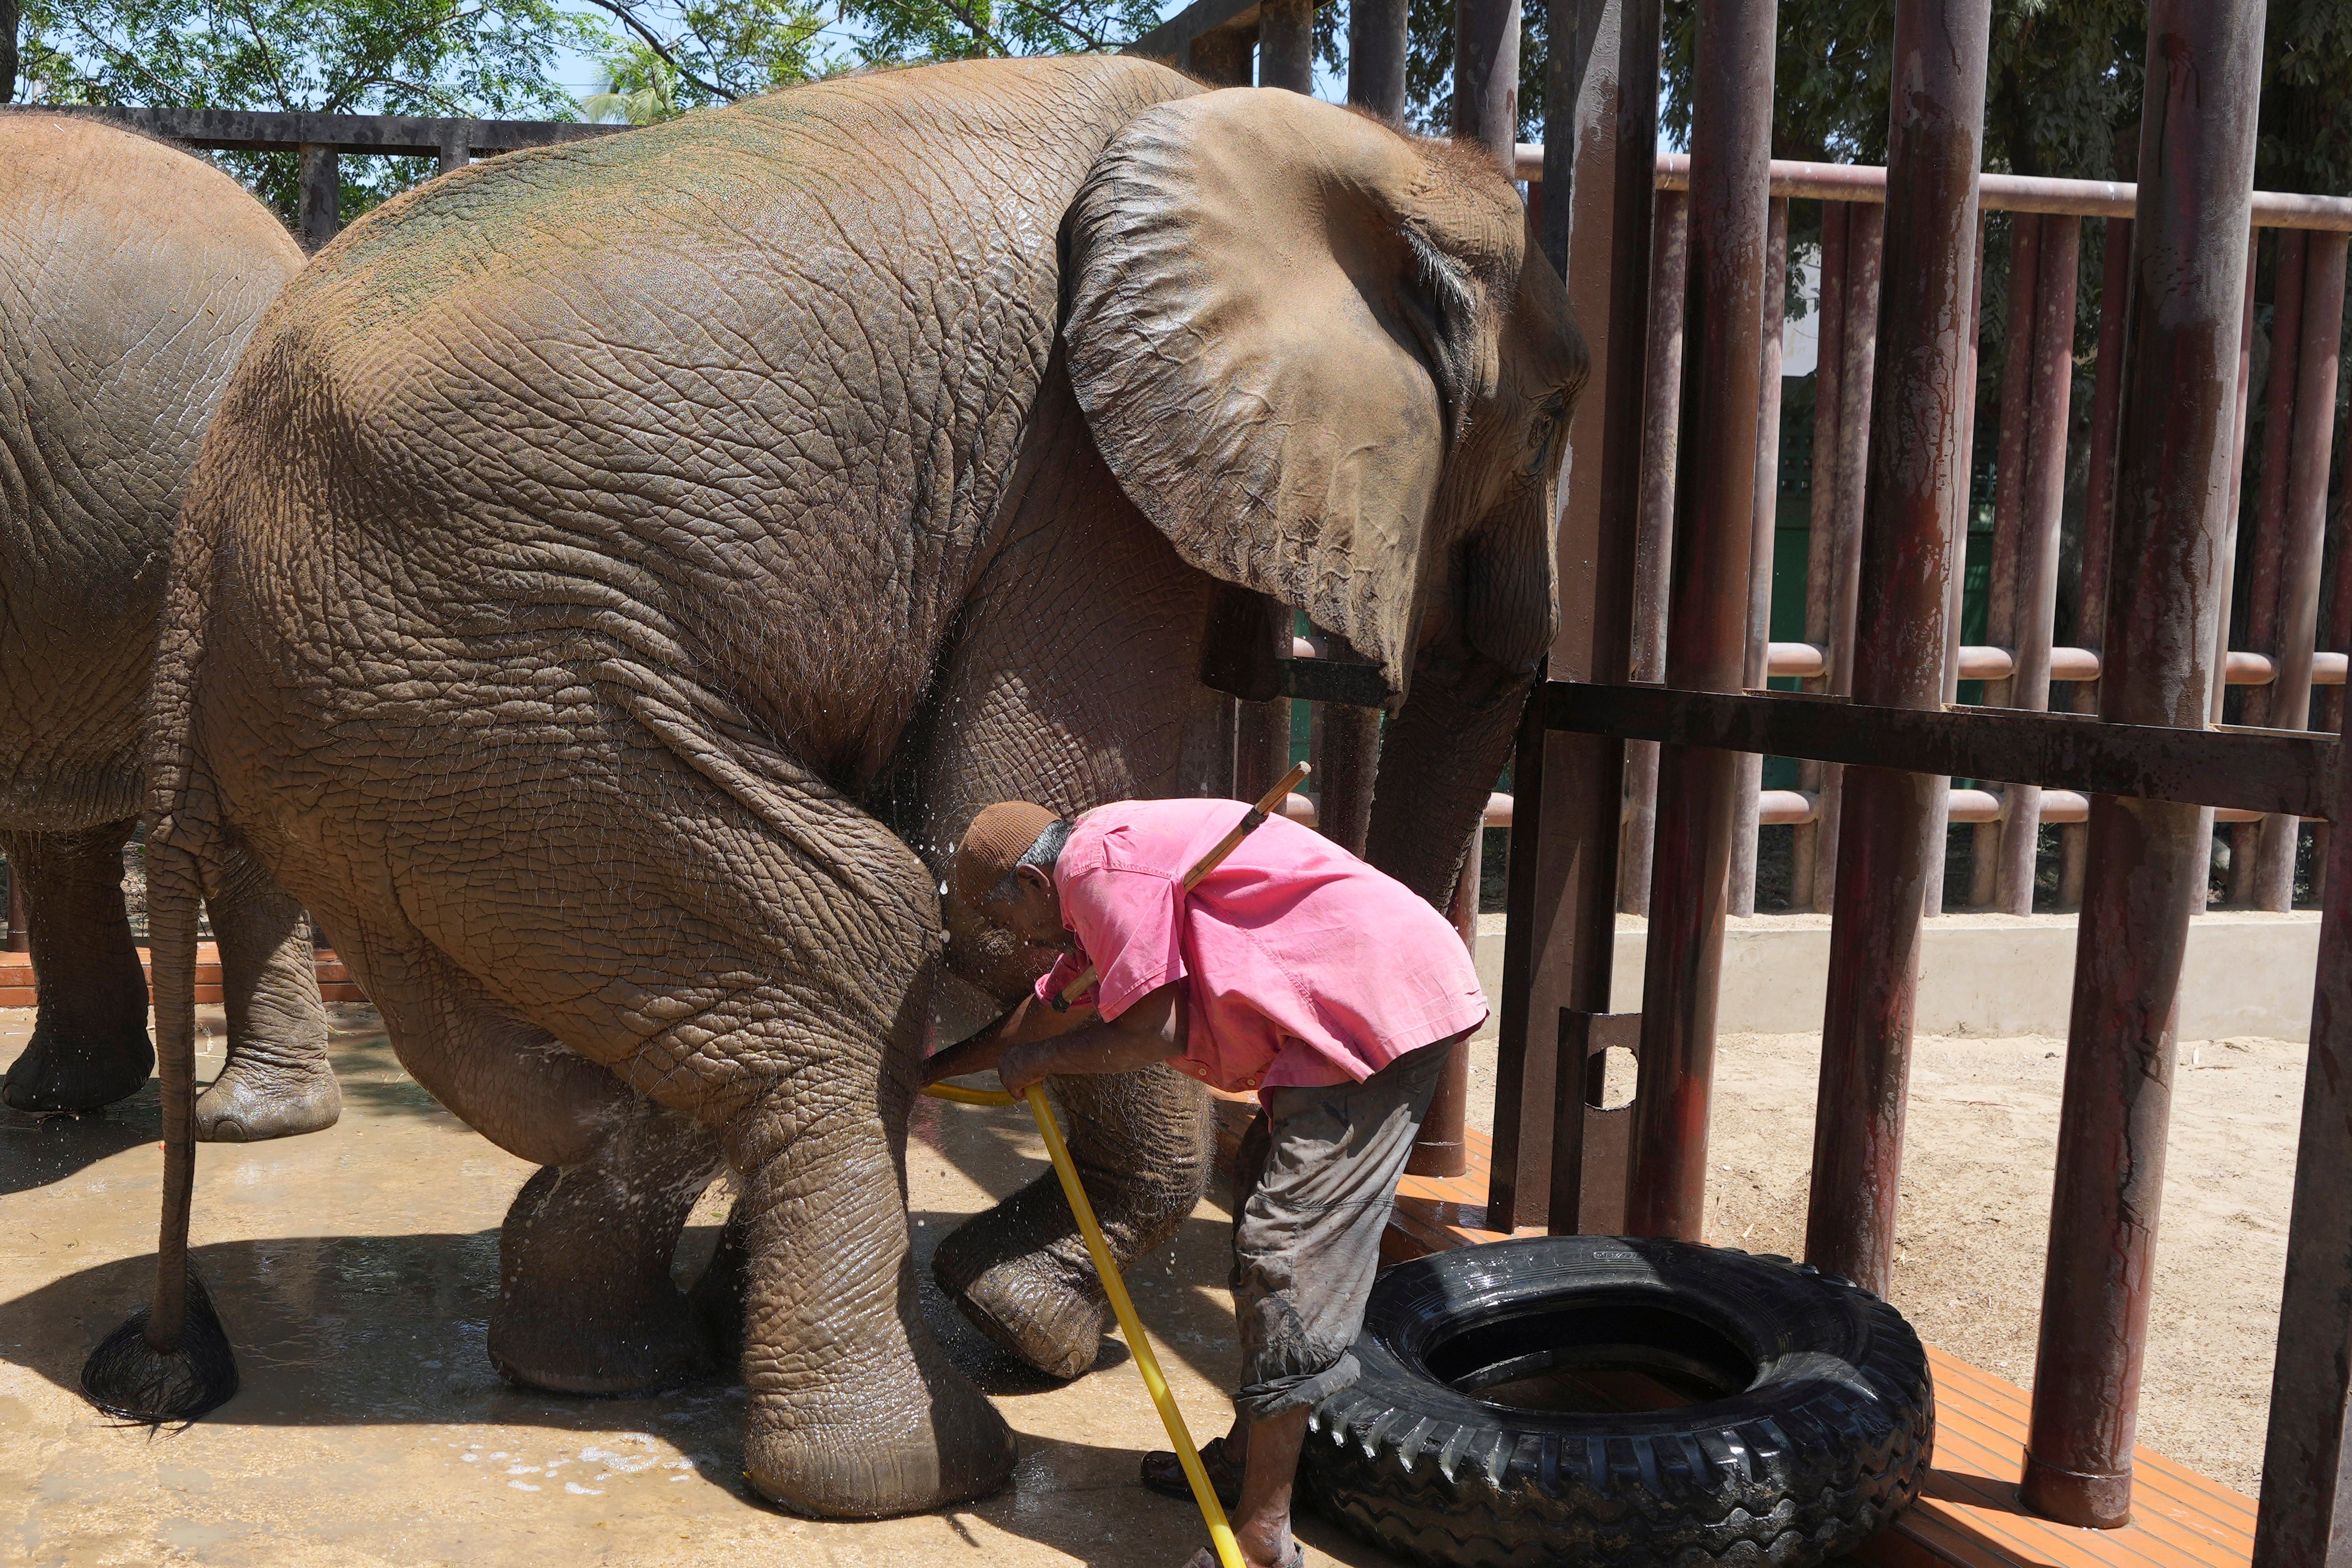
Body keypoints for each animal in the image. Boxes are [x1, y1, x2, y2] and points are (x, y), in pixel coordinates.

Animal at [88, 55, 1585, 1520]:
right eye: (1551, 418)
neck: (1331, 146)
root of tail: (209, 508)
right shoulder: (1079, 483)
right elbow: (1028, 795)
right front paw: (1030, 1324)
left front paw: (985, 1305)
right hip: (475, 674)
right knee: (852, 939)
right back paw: (909, 1471)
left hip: (399, 749)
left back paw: (612, 1355)